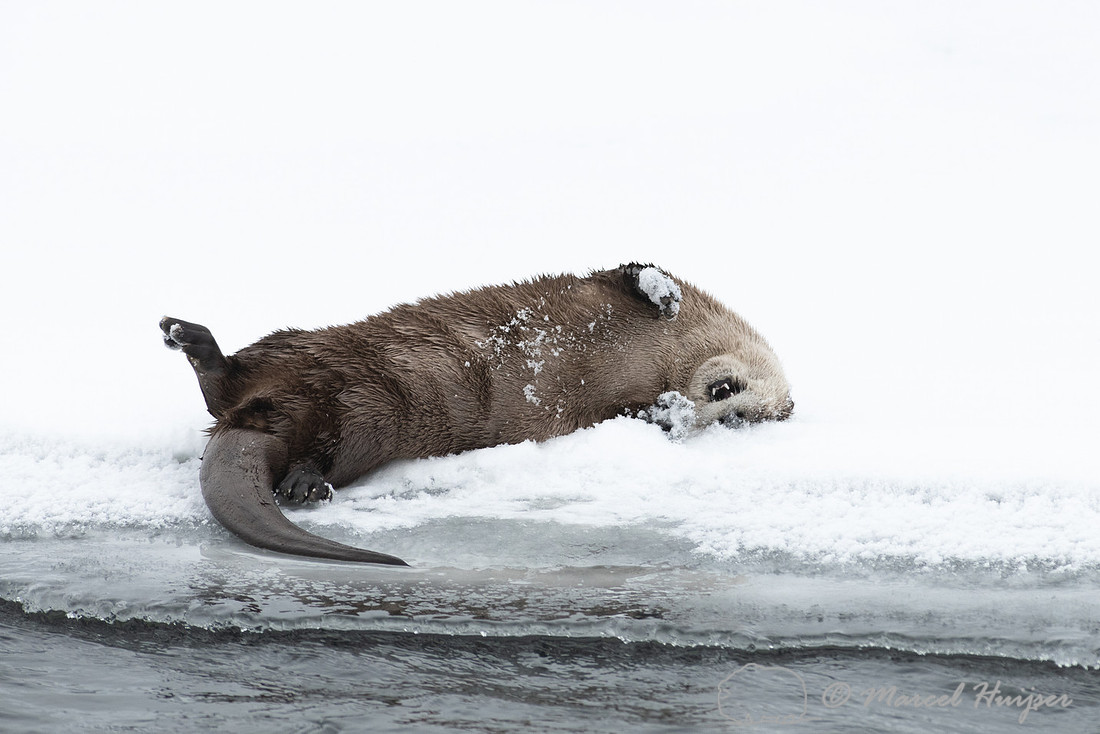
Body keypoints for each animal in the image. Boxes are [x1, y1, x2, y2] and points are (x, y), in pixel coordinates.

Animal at [162, 263, 793, 565]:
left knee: (301, 435)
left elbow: (630, 413)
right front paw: (660, 292)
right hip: (296, 344)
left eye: (741, 420)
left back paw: (302, 481)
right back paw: (188, 337)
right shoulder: (620, 286)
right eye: (732, 399)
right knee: (230, 381)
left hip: (368, 418)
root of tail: (257, 418)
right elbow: (636, 272)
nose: (696, 412)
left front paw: (665, 412)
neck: (671, 354)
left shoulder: (614, 409)